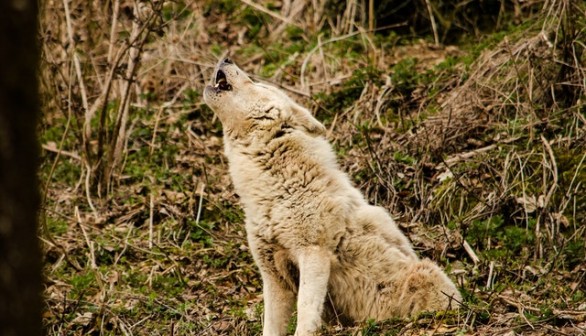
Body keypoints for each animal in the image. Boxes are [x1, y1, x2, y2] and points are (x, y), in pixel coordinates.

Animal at [203, 58, 458, 336]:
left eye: (258, 84)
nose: (226, 58)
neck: (275, 189)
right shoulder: (273, 274)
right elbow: (270, 326)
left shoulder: (314, 253)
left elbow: (305, 312)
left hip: (426, 272)